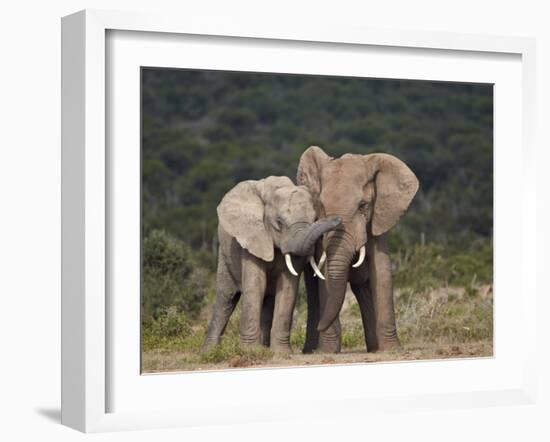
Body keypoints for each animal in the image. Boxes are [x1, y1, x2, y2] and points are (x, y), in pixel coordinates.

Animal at [203, 174, 340, 354]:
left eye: (315, 219)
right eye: (279, 222)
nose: (338, 219)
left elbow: (288, 287)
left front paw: (281, 353)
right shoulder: (252, 237)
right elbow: (255, 286)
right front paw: (250, 352)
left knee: (267, 301)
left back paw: (265, 348)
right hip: (225, 255)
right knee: (226, 298)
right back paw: (208, 353)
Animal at [300, 147, 420, 354]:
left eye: (363, 205)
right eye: (321, 207)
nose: (321, 327)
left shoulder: (378, 220)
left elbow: (381, 272)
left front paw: (391, 350)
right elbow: (325, 278)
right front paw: (328, 351)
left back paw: (373, 348)